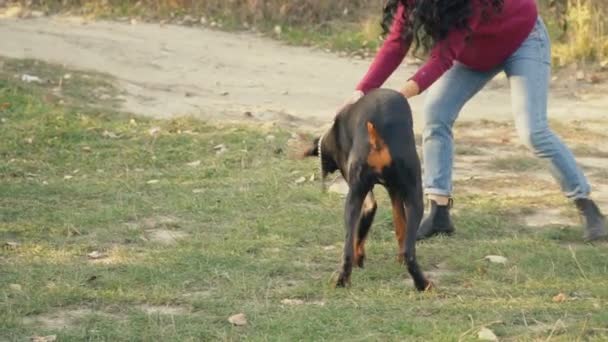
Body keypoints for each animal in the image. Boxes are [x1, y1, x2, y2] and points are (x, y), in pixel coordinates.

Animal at [296, 88, 430, 292]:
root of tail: (377, 137)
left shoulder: (372, 194)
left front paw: (360, 259)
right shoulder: (393, 191)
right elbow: (400, 226)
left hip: (355, 198)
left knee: (347, 249)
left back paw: (342, 281)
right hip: (414, 197)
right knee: (409, 251)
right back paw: (423, 284)